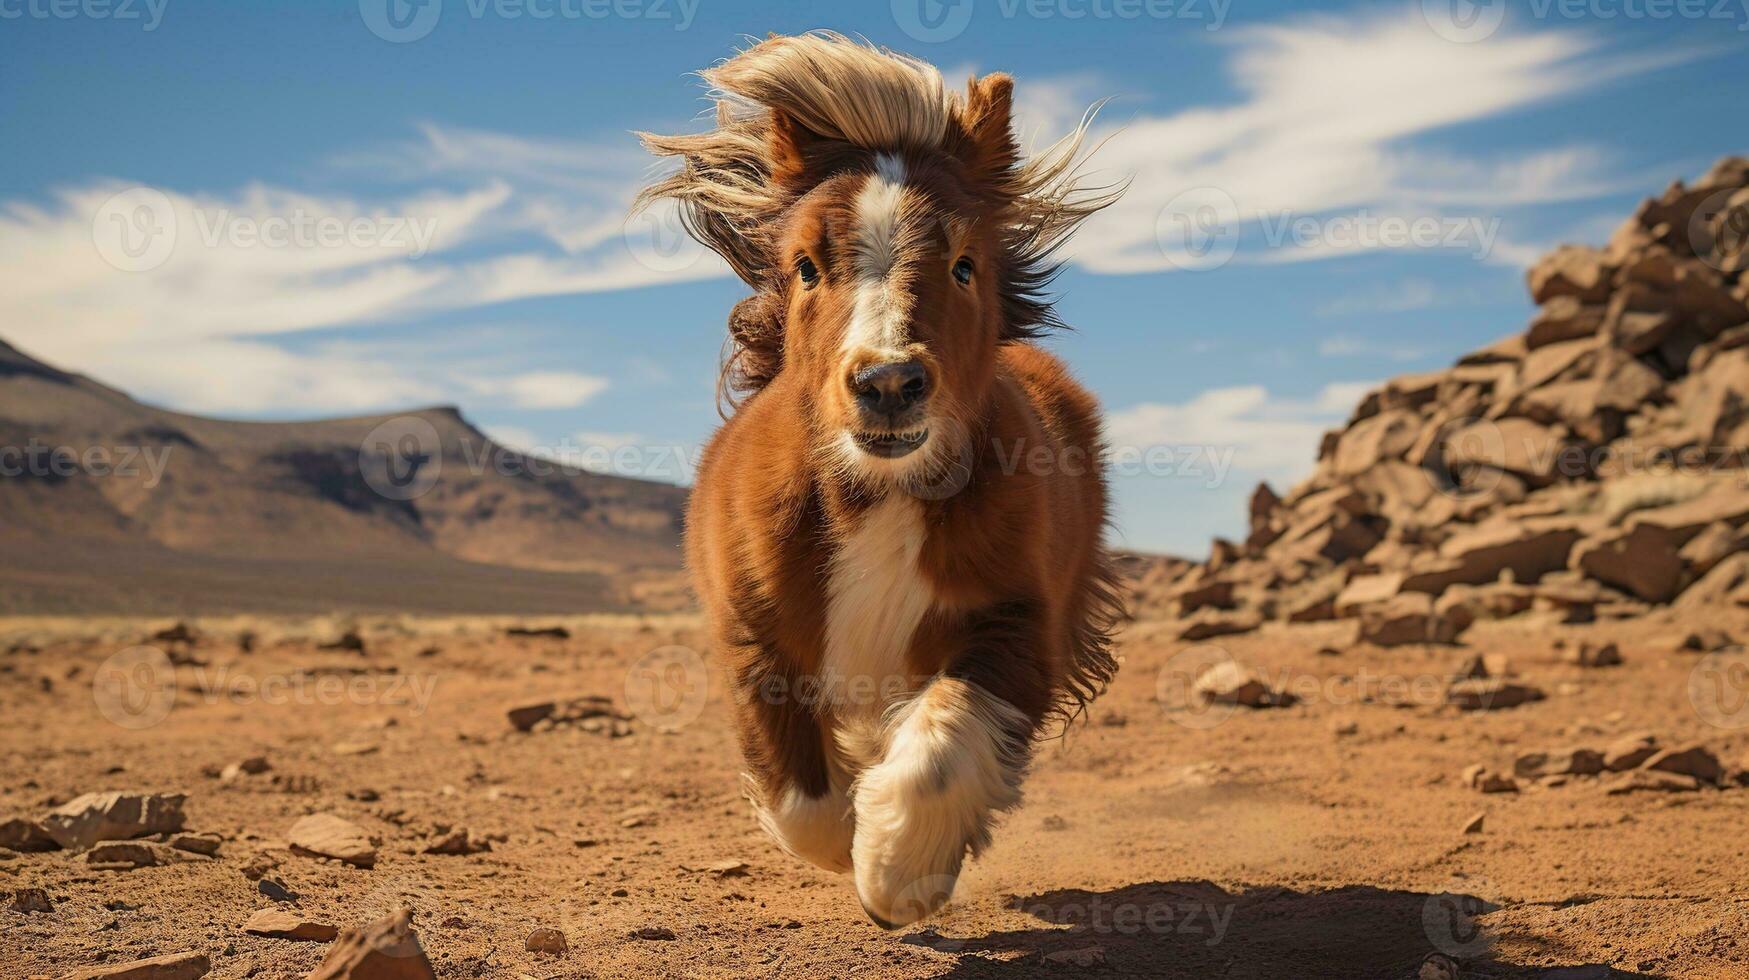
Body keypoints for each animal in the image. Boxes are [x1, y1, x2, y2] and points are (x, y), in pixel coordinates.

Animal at [640, 32, 1119, 924]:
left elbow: (938, 750)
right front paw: (858, 837)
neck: (879, 496)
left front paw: (899, 868)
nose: (888, 383)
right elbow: (802, 801)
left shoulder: (1017, 624)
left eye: (964, 265)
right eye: (804, 266)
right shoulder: (755, 639)